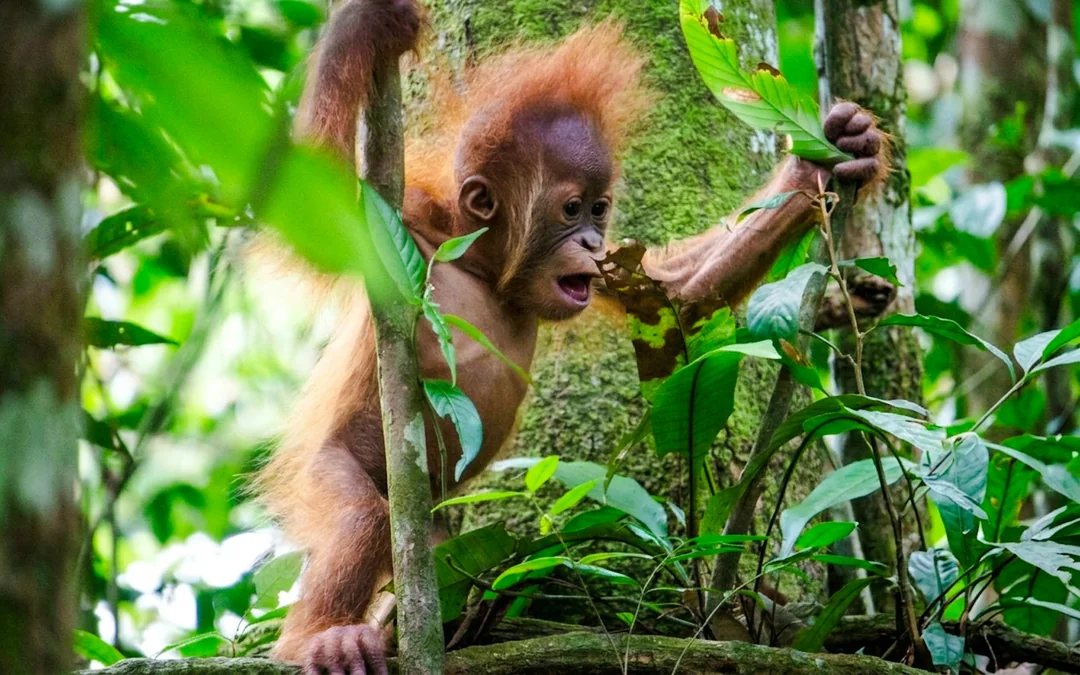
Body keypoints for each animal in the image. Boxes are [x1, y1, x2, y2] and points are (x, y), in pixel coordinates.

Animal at [254, 1, 886, 673]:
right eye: (570, 209)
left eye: (600, 210)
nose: (589, 242)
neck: (485, 269)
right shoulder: (403, 226)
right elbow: (305, 213)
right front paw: (365, 25)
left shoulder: (614, 269)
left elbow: (681, 292)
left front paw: (837, 150)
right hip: (325, 470)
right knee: (360, 517)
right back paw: (321, 639)